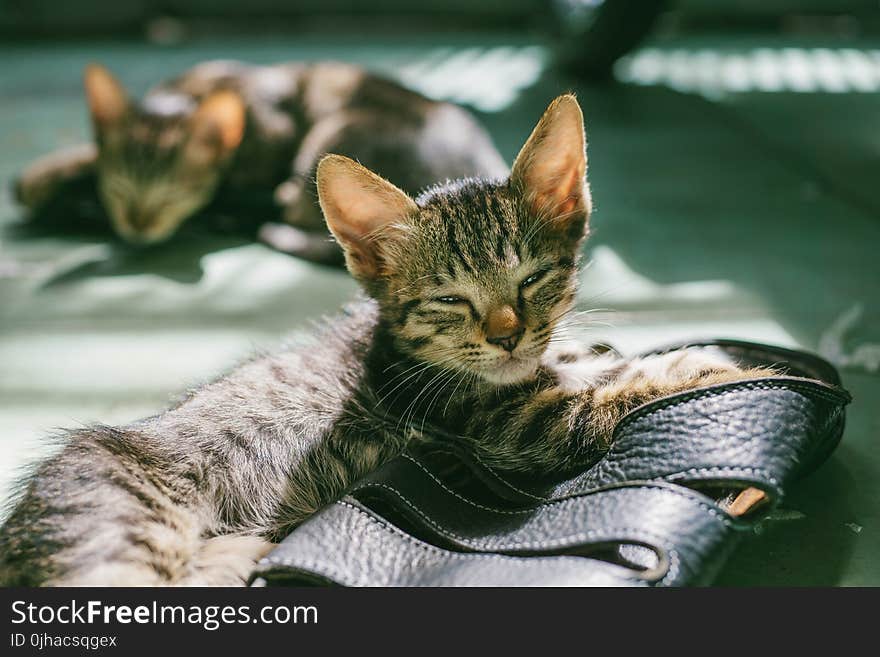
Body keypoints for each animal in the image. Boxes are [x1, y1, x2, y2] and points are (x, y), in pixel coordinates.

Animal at [1, 93, 768, 584]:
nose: (508, 335)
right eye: (450, 299)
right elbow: (621, 387)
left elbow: (600, 363)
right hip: (113, 529)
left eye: (532, 280)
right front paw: (718, 363)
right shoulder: (515, 422)